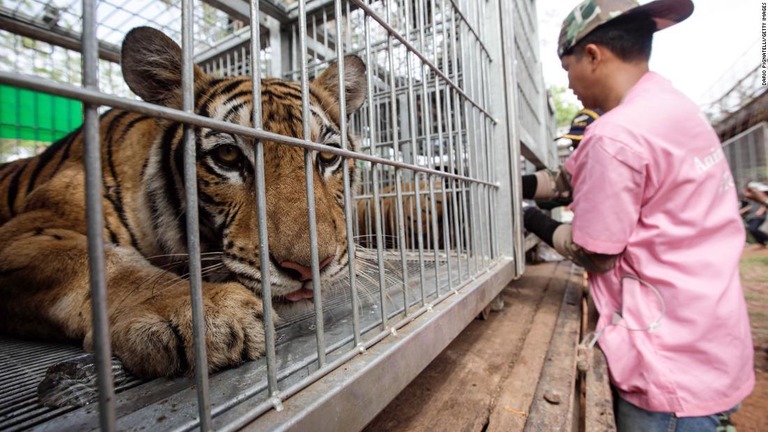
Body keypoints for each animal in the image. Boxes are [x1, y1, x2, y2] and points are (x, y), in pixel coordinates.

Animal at [0, 27, 368, 378]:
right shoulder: (29, 231)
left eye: (327, 157)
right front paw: (204, 311)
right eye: (228, 155)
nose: (310, 268)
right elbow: (107, 265)